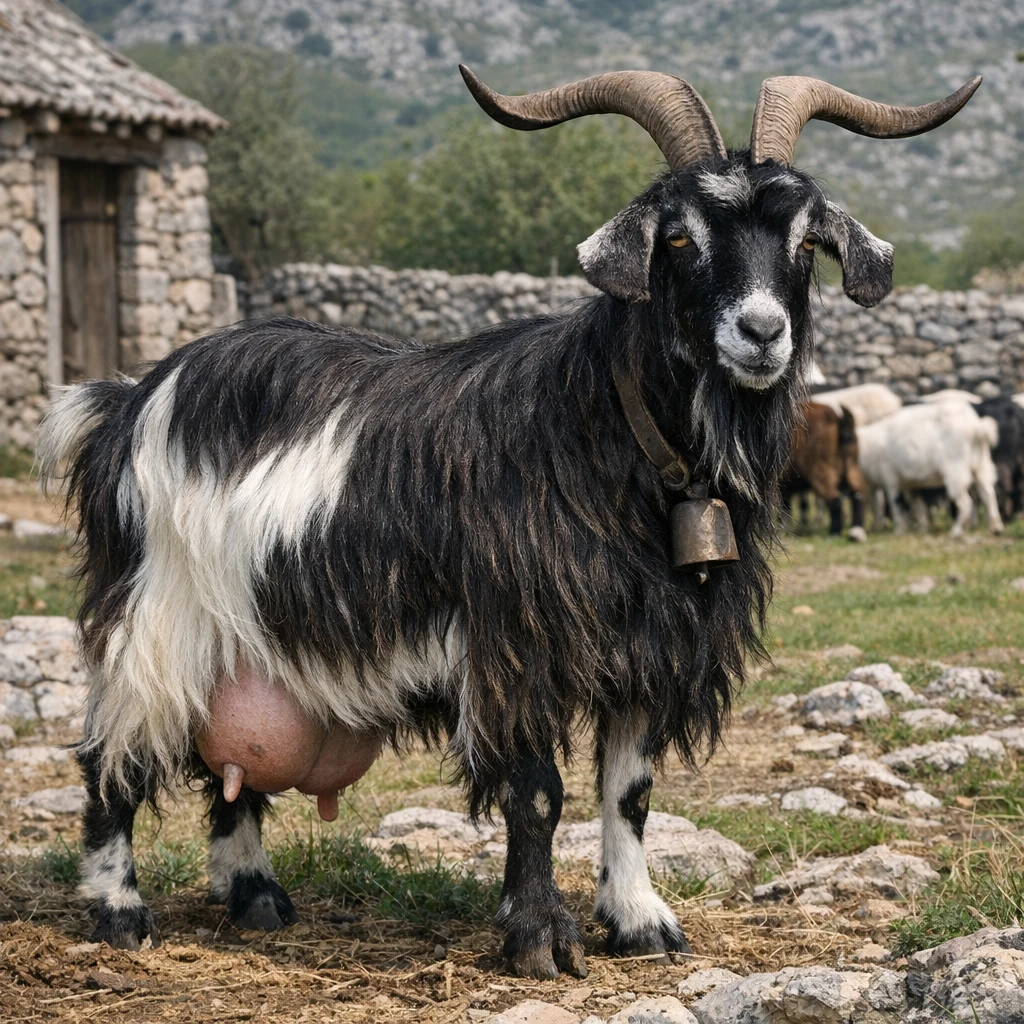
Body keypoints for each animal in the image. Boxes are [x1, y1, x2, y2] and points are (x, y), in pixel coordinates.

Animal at [783, 402, 866, 540]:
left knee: (834, 498)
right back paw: (856, 531)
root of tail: (838, 419)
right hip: (851, 464)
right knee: (857, 493)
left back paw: (835, 533)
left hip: (820, 468)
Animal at [857, 401, 1003, 537]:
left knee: (965, 503)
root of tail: (978, 427)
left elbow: (896, 506)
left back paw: (956, 531)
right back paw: (996, 528)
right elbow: (917, 506)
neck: (868, 447)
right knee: (988, 494)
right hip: (981, 466)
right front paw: (923, 528)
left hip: (956, 472)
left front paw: (899, 531)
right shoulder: (911, 485)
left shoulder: (891, 479)